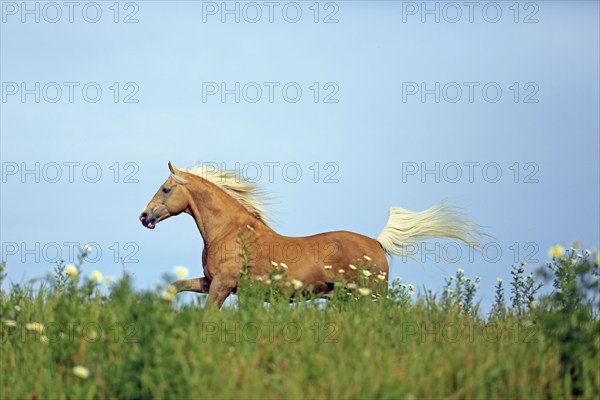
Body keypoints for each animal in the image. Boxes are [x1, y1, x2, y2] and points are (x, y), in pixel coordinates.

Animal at [138, 162, 480, 310]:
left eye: (166, 189)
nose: (144, 217)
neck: (230, 233)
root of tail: (377, 243)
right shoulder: (211, 282)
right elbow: (175, 286)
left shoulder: (222, 285)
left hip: (371, 295)